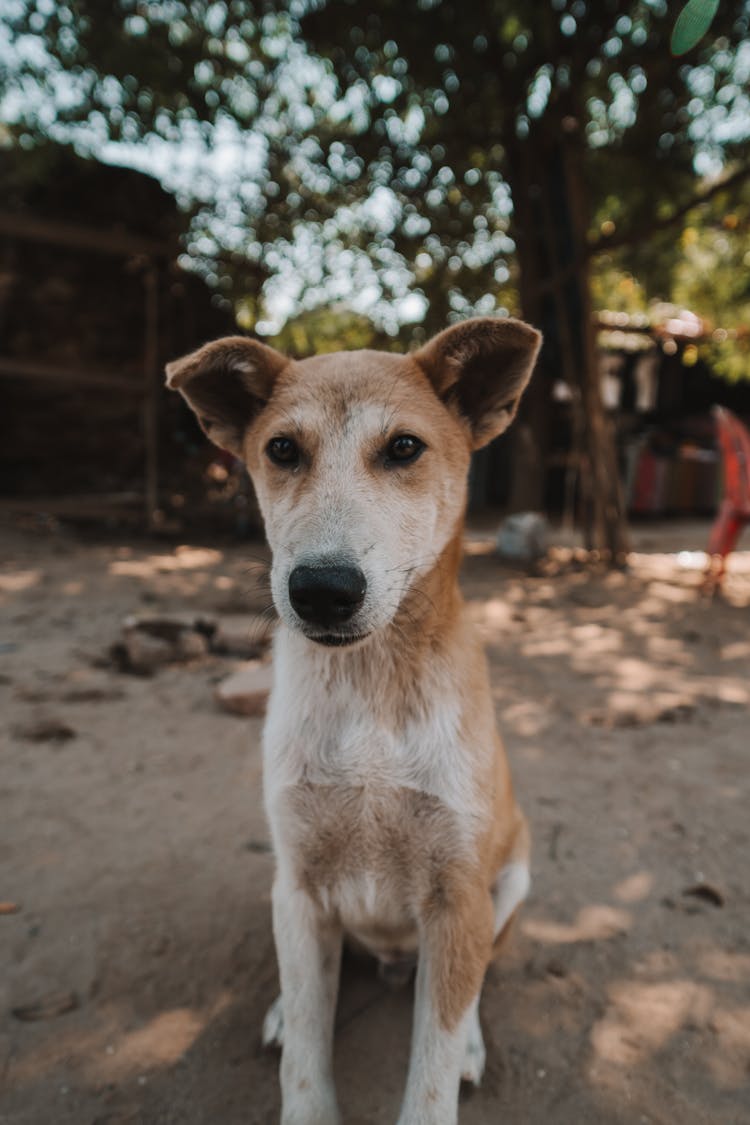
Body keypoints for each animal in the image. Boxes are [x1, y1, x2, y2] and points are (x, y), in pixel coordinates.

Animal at [165, 317, 539, 1125]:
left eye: (403, 448)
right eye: (281, 450)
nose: (323, 589)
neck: (371, 689)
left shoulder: (458, 896)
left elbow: (431, 1072)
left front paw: (452, 1052)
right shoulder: (300, 884)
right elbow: (306, 1055)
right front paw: (296, 1030)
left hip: (511, 878)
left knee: (469, 982)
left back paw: (469, 1037)